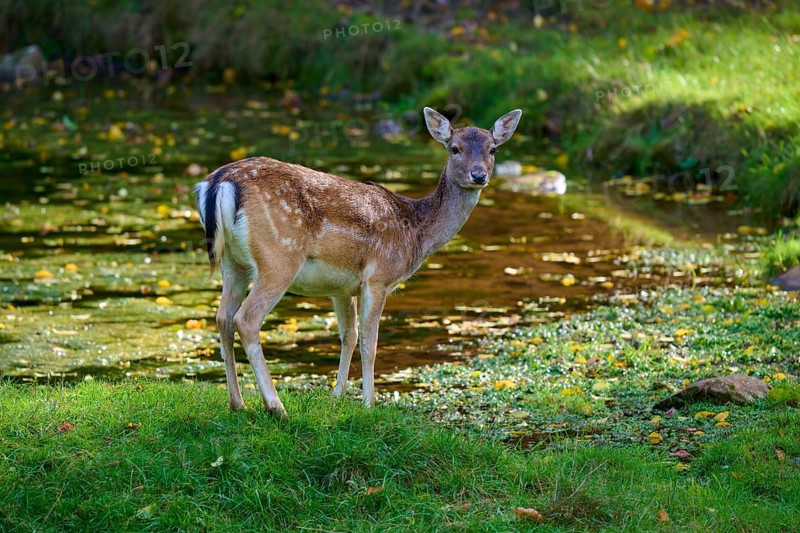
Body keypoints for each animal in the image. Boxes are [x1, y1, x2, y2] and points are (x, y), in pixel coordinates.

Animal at [195, 107, 522, 416]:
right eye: (454, 148)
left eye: (493, 149)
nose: (478, 175)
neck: (415, 233)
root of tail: (221, 182)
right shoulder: (379, 277)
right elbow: (370, 343)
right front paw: (368, 403)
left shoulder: (341, 287)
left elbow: (348, 336)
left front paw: (336, 396)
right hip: (278, 258)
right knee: (246, 319)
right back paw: (276, 407)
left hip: (233, 264)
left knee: (223, 318)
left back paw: (237, 403)